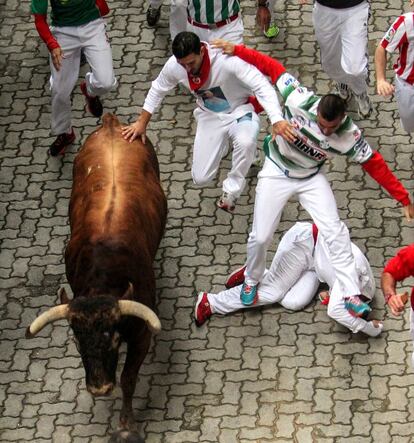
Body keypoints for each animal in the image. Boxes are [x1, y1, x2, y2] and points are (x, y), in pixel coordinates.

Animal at [26, 114, 167, 440]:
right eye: (77, 342)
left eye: (113, 338)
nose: (100, 388)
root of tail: (112, 124)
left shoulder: (141, 334)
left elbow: (128, 378)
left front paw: (126, 424)